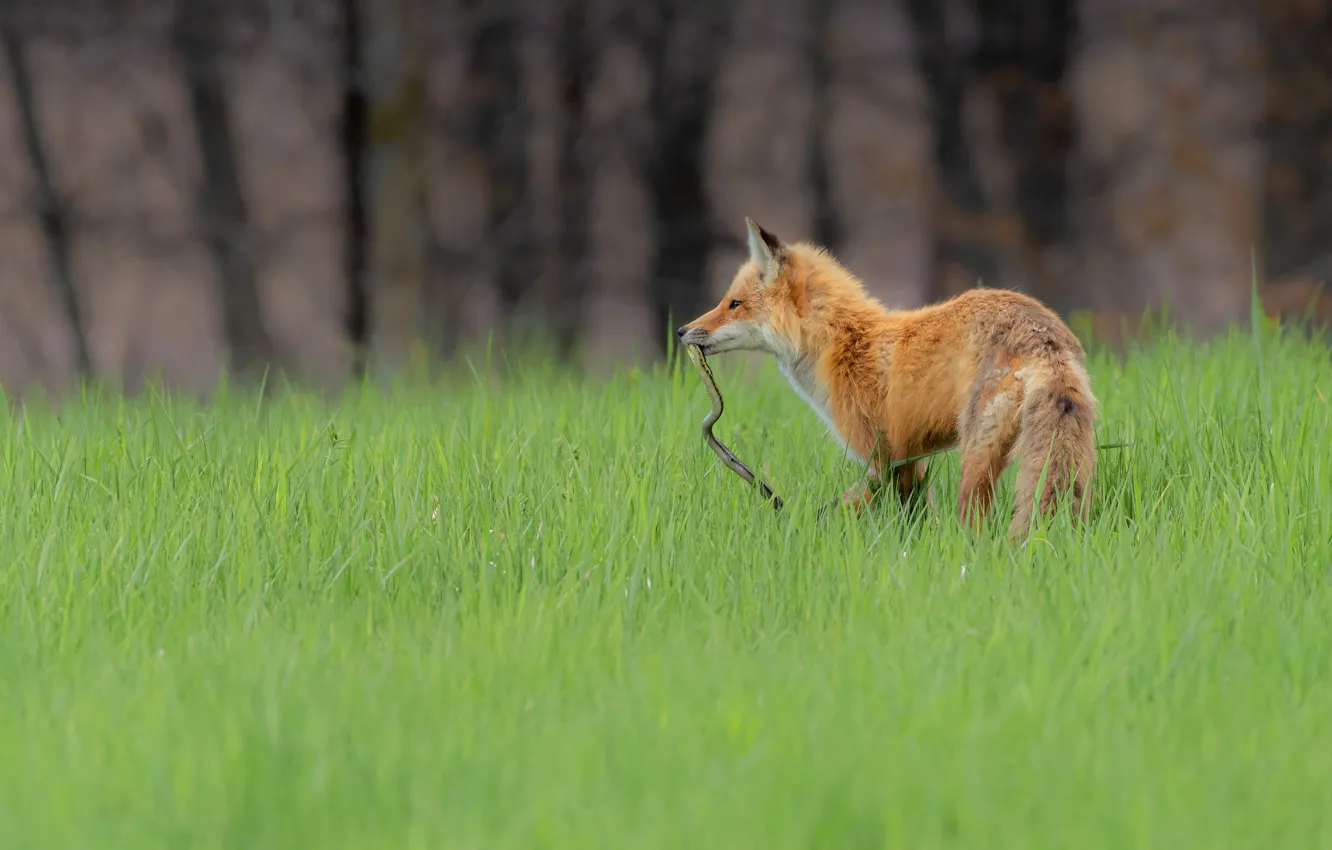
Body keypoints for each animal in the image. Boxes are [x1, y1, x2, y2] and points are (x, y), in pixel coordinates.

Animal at [677, 218, 1097, 539]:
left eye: (734, 304)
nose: (682, 330)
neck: (844, 343)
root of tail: (1044, 334)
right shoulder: (910, 460)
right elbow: (916, 523)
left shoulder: (883, 458)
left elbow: (839, 510)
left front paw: (800, 527)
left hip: (975, 459)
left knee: (973, 526)